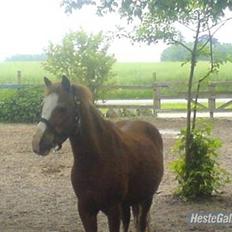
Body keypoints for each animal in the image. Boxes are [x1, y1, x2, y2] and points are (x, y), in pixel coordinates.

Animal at [32, 76, 163, 232]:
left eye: (62, 108)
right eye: (43, 105)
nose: (37, 142)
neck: (96, 159)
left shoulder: (113, 210)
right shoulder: (85, 210)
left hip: (146, 199)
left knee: (141, 223)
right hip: (128, 202)